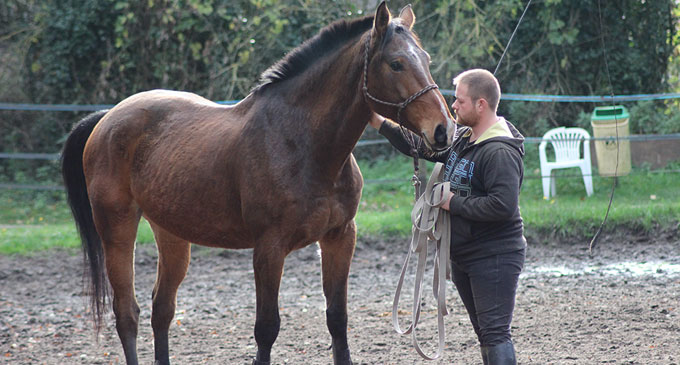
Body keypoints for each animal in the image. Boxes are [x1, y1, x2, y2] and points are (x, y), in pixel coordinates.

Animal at [61, 2, 454, 362]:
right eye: (396, 63)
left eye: (426, 58)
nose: (442, 130)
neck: (304, 144)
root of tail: (106, 118)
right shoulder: (269, 247)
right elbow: (267, 328)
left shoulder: (340, 237)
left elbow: (337, 320)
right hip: (117, 229)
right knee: (127, 314)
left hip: (171, 233)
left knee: (162, 310)